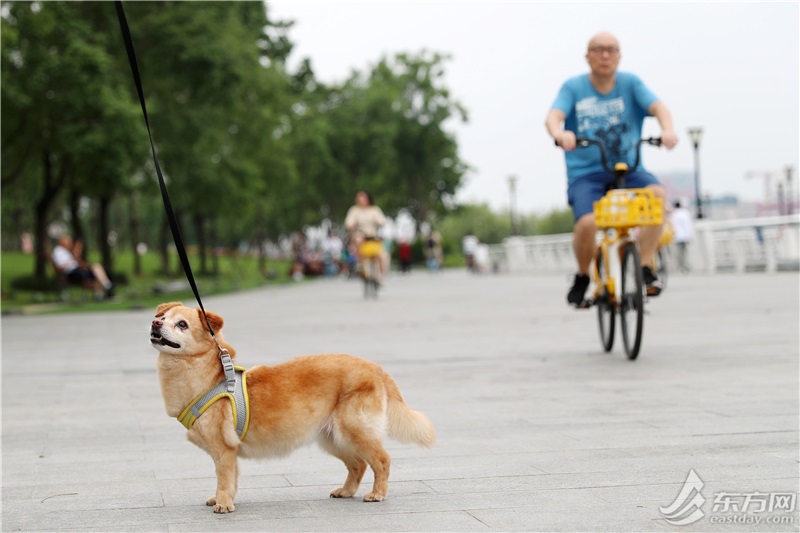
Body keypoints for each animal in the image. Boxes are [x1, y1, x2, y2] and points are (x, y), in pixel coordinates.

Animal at [150, 300, 438, 512]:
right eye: (163, 317)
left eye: (182, 324)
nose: (155, 322)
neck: (208, 377)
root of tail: (375, 368)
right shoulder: (227, 453)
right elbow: (231, 479)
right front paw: (225, 498)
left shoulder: (224, 449)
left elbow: (224, 477)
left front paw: (223, 503)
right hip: (333, 437)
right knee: (358, 464)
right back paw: (346, 491)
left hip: (354, 429)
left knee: (381, 460)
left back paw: (377, 493)